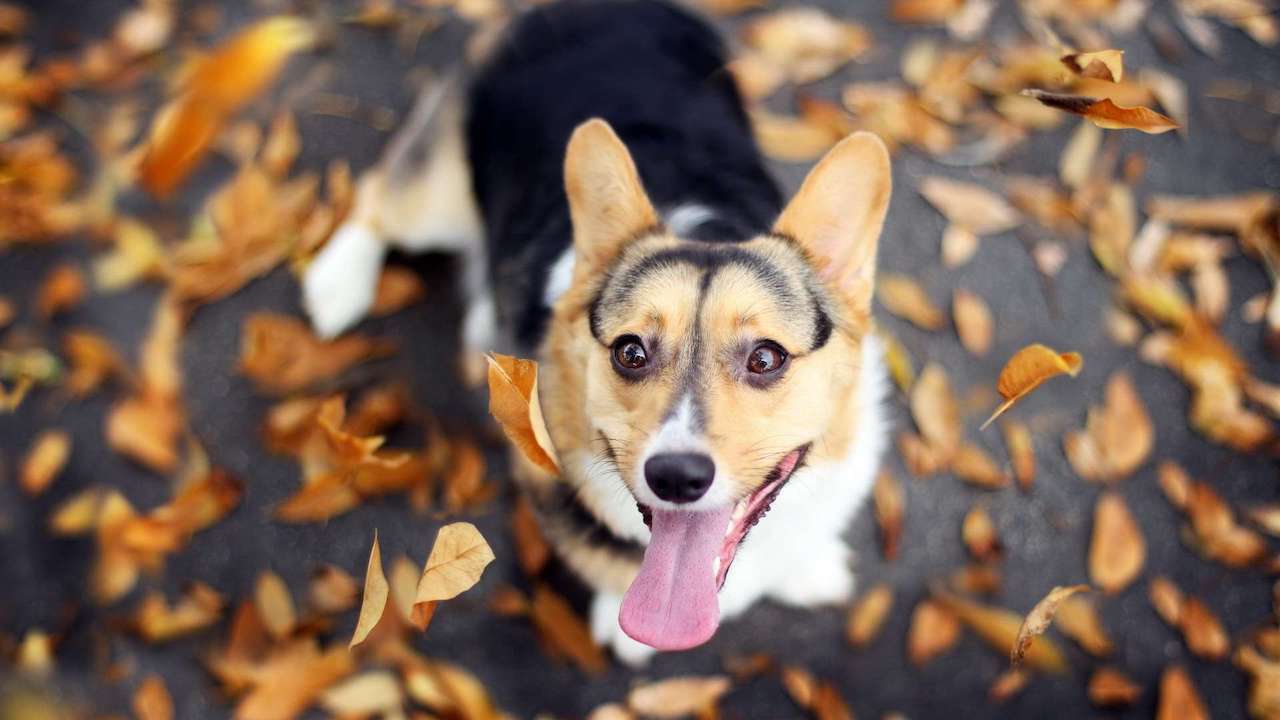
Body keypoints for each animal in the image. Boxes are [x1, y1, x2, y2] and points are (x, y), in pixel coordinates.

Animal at [305, 0, 896, 661]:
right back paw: (338, 283)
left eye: (766, 359)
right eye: (630, 352)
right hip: (439, 197)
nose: (676, 478)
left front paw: (808, 570)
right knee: (376, 198)